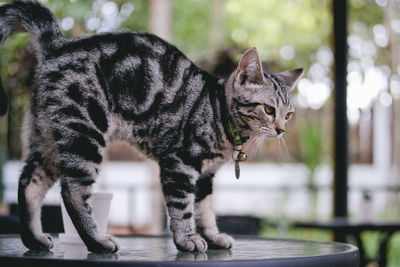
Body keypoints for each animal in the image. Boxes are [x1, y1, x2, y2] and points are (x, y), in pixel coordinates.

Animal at [0, 1, 302, 254]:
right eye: (269, 110)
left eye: (288, 115)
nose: (281, 130)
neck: (220, 116)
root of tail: (58, 45)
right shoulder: (179, 164)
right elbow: (183, 208)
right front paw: (187, 239)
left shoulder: (205, 176)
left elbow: (204, 209)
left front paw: (212, 236)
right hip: (84, 134)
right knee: (72, 191)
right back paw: (97, 241)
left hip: (48, 137)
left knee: (29, 182)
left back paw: (34, 239)